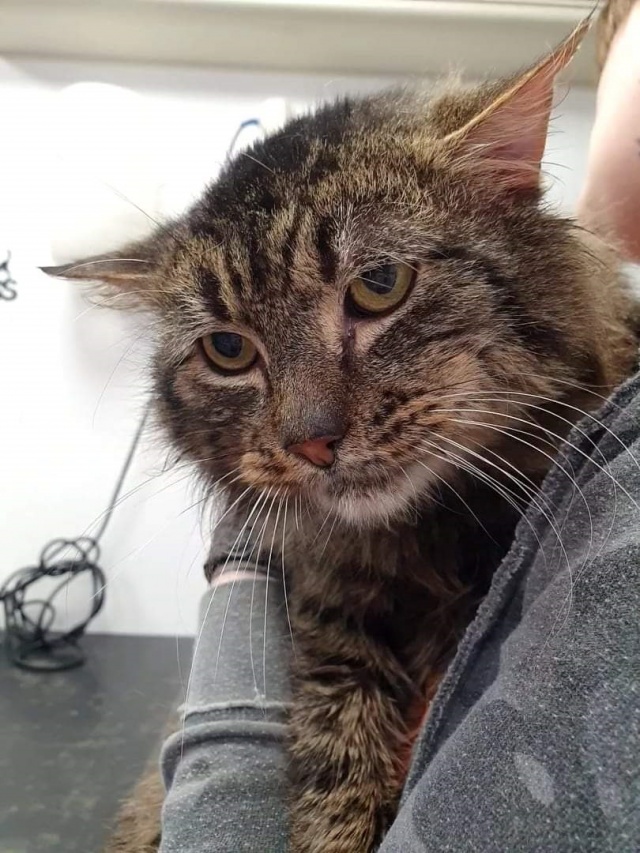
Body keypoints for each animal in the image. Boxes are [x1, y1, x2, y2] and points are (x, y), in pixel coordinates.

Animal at [47, 20, 639, 853]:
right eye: (227, 350)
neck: (416, 553)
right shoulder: (326, 616)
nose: (312, 441)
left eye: (379, 286)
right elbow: (332, 738)